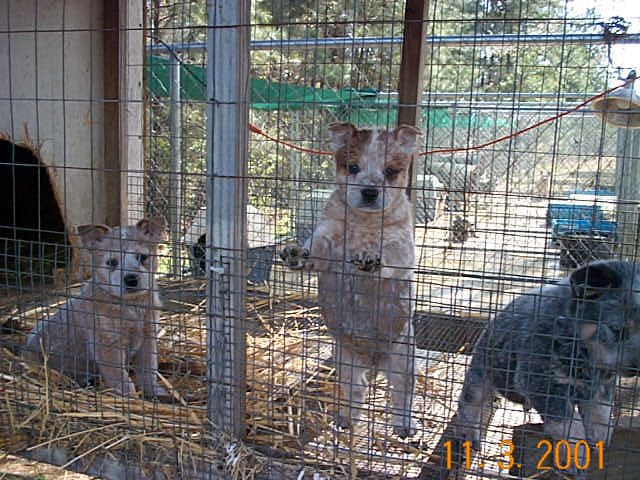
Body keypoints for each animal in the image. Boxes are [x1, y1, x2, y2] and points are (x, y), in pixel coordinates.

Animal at [23, 218, 168, 398]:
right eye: (112, 262)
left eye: (142, 257)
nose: (131, 279)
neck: (131, 307)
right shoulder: (107, 344)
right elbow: (120, 377)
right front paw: (129, 398)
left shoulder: (148, 337)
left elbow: (149, 370)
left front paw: (154, 392)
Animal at [280, 122, 420, 436]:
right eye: (353, 167)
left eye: (390, 171)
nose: (369, 191)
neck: (363, 222)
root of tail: (373, 361)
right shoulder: (328, 241)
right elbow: (316, 249)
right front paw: (297, 254)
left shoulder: (402, 248)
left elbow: (389, 256)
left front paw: (370, 258)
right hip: (346, 364)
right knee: (357, 391)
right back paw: (346, 419)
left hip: (402, 361)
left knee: (401, 396)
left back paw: (405, 426)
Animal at [452, 260, 640, 470]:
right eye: (617, 329)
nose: (636, 368)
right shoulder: (540, 380)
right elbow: (566, 422)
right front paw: (575, 455)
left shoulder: (602, 384)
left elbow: (600, 409)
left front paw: (600, 436)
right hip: (481, 371)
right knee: (469, 402)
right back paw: (469, 436)